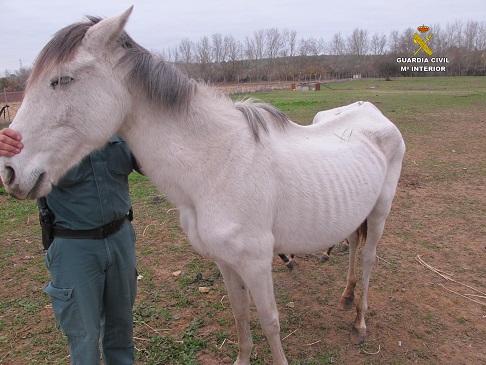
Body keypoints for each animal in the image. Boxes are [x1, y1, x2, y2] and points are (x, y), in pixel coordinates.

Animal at [0, 7, 406, 362]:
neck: (217, 166)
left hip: (380, 212)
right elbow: (241, 316)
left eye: (62, 80)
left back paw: (360, 322)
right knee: (353, 246)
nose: (10, 171)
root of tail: (373, 113)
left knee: (368, 258)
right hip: (354, 214)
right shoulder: (226, 262)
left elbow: (269, 322)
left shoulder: (256, 263)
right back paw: (346, 299)